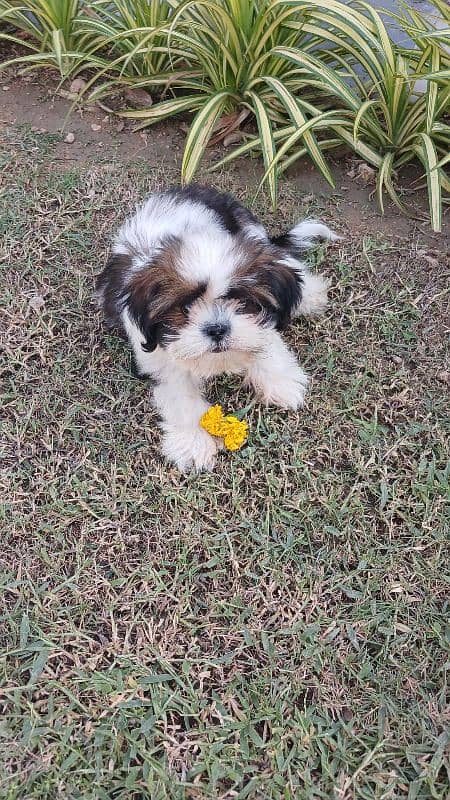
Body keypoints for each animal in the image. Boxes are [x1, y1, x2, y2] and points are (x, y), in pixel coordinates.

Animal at [97, 184, 338, 472]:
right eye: (185, 306)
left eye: (242, 301)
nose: (217, 328)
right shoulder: (156, 355)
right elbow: (180, 392)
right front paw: (193, 441)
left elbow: (266, 336)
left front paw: (280, 380)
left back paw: (309, 295)